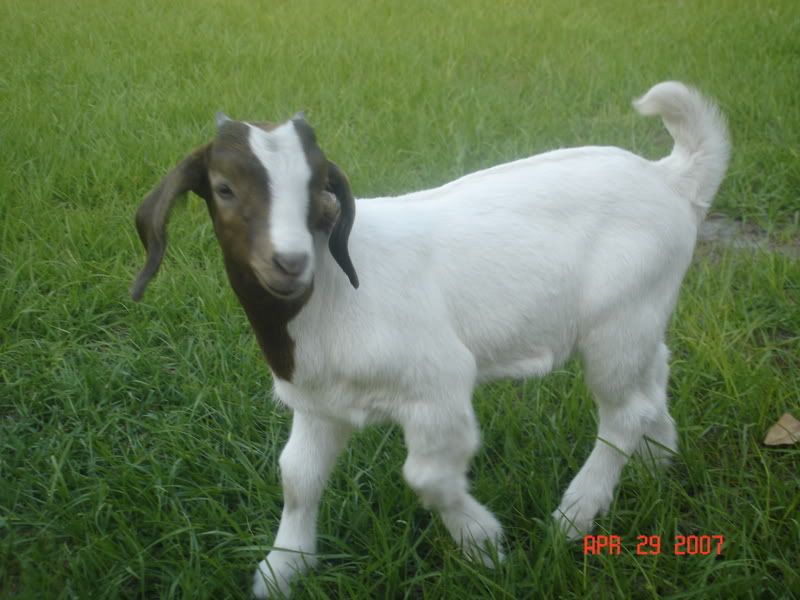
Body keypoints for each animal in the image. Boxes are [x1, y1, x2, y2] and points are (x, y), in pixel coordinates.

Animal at [131, 81, 729, 598]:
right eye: (224, 188)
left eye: (318, 185)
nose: (289, 261)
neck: (330, 296)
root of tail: (670, 177)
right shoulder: (320, 404)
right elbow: (297, 476)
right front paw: (281, 570)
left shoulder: (437, 384)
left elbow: (427, 476)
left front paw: (485, 546)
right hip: (642, 315)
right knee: (652, 380)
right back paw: (658, 460)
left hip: (617, 320)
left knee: (623, 411)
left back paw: (574, 516)